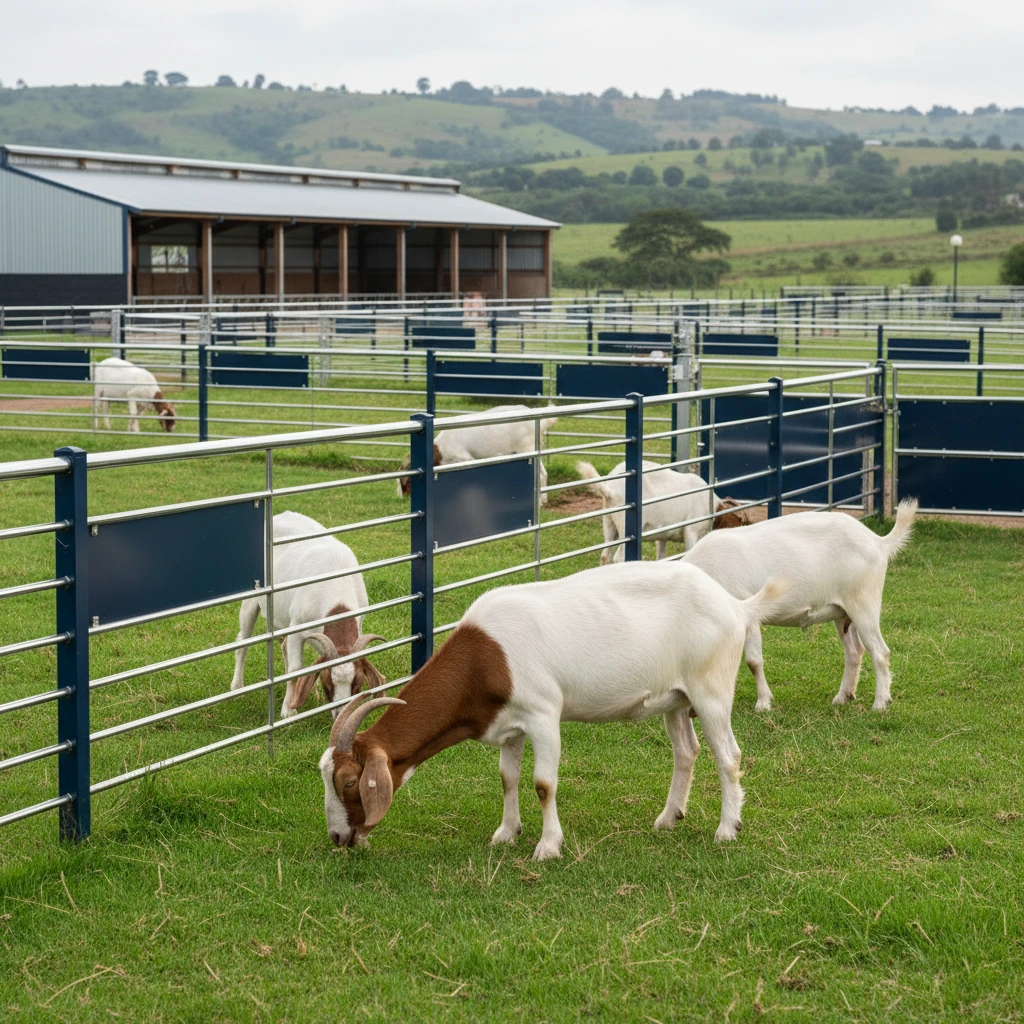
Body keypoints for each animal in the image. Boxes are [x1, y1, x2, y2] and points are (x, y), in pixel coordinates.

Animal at [230, 511, 387, 719]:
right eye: (328, 684)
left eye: (357, 684)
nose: (340, 714)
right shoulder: (298, 625)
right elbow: (296, 670)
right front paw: (289, 711)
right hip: (252, 599)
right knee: (243, 642)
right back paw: (237, 687)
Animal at [319, 560, 788, 859]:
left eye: (349, 782)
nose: (339, 837)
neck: (485, 658)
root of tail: (735, 606)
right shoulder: (509, 726)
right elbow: (507, 778)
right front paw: (506, 834)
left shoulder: (543, 715)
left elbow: (543, 784)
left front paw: (548, 847)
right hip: (675, 698)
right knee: (686, 752)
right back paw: (668, 818)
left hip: (710, 689)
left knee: (728, 755)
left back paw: (727, 829)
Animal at [397, 405, 558, 504]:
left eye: (405, 483)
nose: (401, 499)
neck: (440, 451)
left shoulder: (465, 459)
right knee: (543, 473)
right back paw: (544, 500)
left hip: (527, 448)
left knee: (539, 474)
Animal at [577, 460, 750, 564]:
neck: (711, 505)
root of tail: (609, 488)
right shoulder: (691, 531)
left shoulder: (662, 536)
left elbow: (661, 556)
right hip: (625, 527)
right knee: (618, 558)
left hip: (609, 523)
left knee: (605, 556)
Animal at [682, 500, 918, 712]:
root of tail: (878, 542)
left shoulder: (750, 615)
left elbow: (753, 662)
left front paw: (763, 703)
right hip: (842, 613)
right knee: (854, 651)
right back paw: (843, 696)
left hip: (863, 601)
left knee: (879, 651)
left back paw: (880, 703)